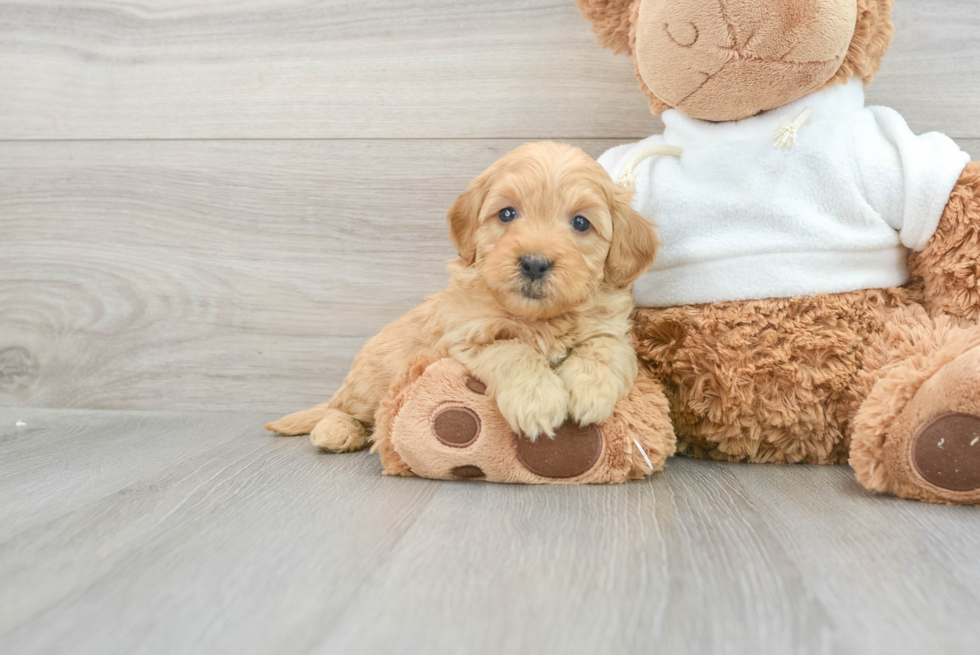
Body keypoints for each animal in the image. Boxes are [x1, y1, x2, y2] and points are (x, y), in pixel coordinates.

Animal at [266, 143, 660, 452]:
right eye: (507, 214)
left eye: (581, 223)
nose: (534, 263)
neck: (540, 319)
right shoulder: (467, 337)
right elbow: (512, 351)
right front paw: (537, 400)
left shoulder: (612, 327)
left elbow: (605, 348)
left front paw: (591, 391)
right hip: (369, 379)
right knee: (344, 409)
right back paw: (338, 431)